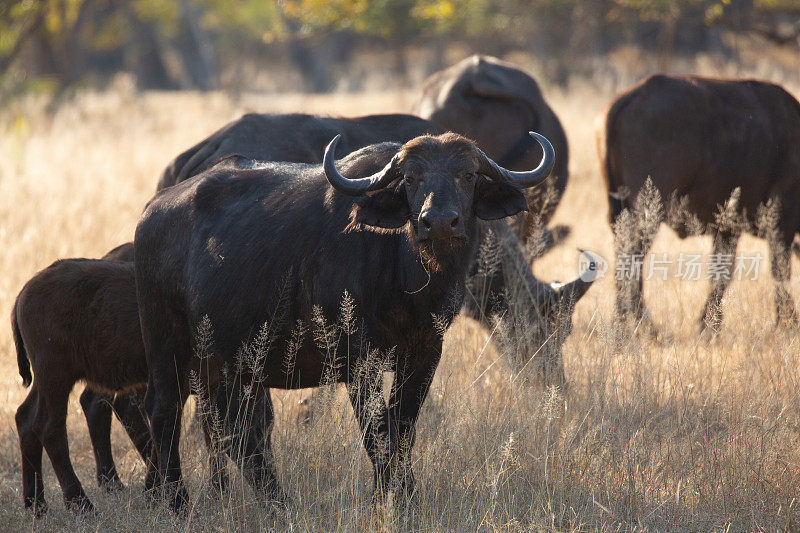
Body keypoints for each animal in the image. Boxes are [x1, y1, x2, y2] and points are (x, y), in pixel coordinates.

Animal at [133, 131, 556, 510]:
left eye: (467, 174)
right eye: (410, 178)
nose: (437, 222)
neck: (404, 274)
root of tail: (152, 213)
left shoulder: (425, 352)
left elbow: (402, 427)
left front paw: (401, 496)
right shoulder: (355, 357)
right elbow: (377, 432)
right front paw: (392, 498)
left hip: (225, 363)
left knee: (231, 428)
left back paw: (263, 500)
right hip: (166, 341)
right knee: (166, 411)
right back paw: (177, 500)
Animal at [600, 72, 800, 330]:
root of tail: (633, 95)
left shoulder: (727, 229)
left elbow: (721, 273)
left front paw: (709, 323)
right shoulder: (783, 219)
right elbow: (780, 270)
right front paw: (788, 322)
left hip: (618, 211)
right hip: (648, 212)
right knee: (631, 259)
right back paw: (636, 324)